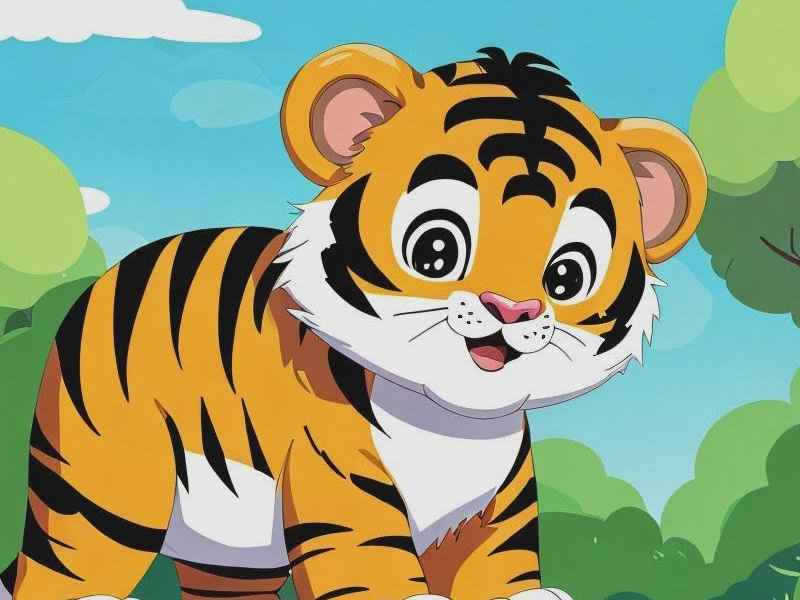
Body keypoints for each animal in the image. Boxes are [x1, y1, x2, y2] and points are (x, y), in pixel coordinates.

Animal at [0, 44, 706, 600]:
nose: (513, 309)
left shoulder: (493, 515)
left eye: (567, 275)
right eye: (437, 248)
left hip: (230, 552)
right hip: (102, 487)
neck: (451, 421)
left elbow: (498, 568)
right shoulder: (338, 487)